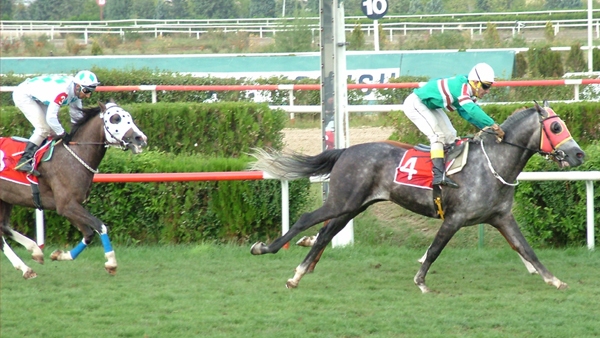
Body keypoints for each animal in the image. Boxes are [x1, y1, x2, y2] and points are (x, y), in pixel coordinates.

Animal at [1, 101, 147, 280]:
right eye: (115, 118)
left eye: (128, 117)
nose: (140, 139)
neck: (74, 155)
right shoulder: (67, 205)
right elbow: (100, 225)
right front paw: (111, 263)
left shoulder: (69, 206)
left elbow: (88, 234)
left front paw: (60, 255)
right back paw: (26, 267)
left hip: (6, 199)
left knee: (3, 226)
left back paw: (34, 252)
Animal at [250, 101, 584, 292]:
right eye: (556, 126)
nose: (579, 154)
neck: (494, 165)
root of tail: (346, 150)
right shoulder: (455, 219)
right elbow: (435, 249)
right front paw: (421, 281)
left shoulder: (501, 217)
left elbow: (527, 249)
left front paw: (554, 280)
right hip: (342, 200)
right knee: (308, 220)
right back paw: (265, 248)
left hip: (353, 206)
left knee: (325, 234)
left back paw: (298, 274)